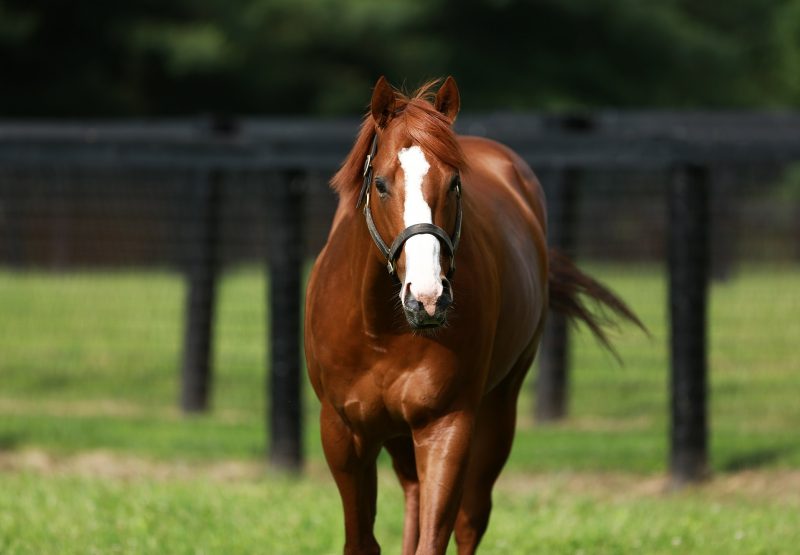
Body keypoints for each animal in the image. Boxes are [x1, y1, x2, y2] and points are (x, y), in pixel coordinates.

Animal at [304, 76, 640, 552]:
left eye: (455, 184)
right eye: (382, 184)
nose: (427, 297)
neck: (382, 332)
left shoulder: (446, 425)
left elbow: (436, 536)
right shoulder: (342, 432)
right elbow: (362, 540)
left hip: (497, 410)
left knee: (470, 518)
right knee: (413, 496)